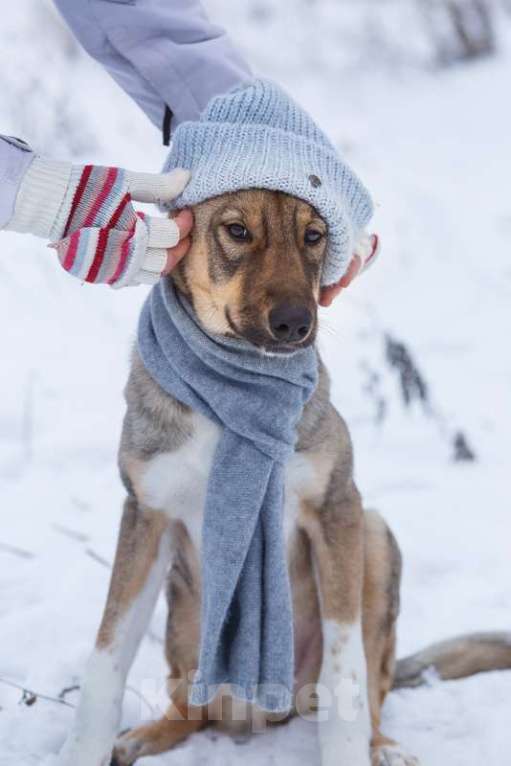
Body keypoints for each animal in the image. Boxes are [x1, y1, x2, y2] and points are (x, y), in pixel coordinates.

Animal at [58, 189, 511, 766]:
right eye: (237, 231)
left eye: (313, 237)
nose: (296, 323)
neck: (232, 390)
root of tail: (262, 710)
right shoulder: (145, 513)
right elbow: (107, 653)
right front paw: (82, 749)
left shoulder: (337, 508)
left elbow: (348, 669)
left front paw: (350, 749)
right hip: (185, 615)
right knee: (191, 706)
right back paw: (148, 734)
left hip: (374, 535)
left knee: (373, 689)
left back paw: (382, 746)